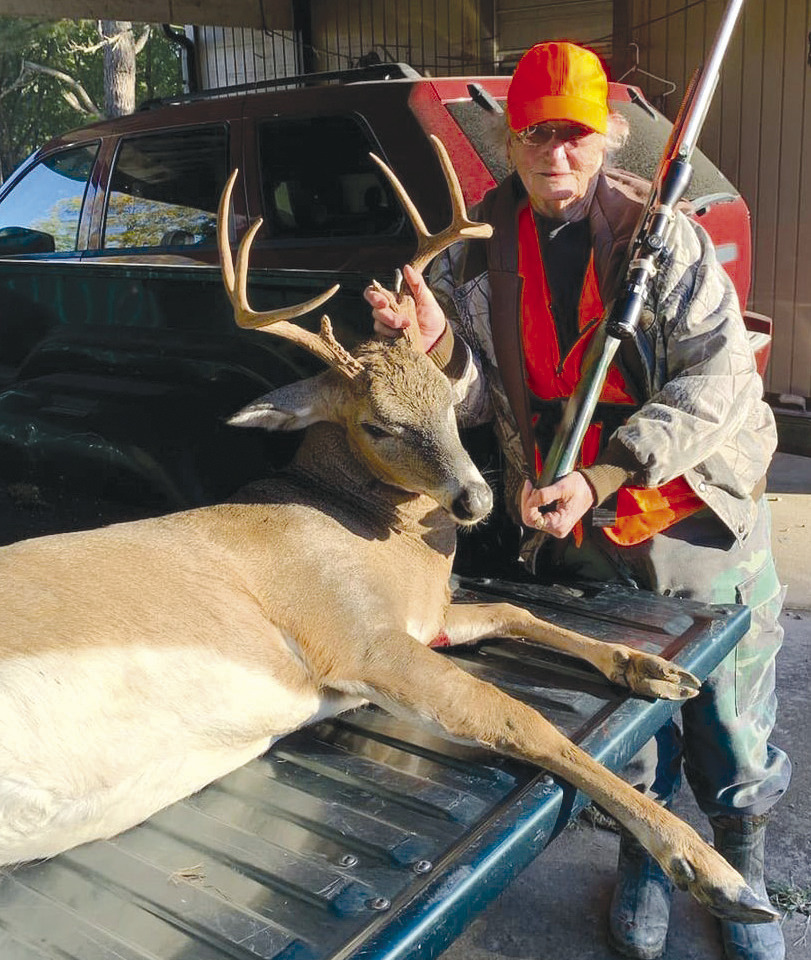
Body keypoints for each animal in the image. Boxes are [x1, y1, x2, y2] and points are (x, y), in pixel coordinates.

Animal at [0, 137, 776, 928]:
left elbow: (511, 607)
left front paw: (648, 667)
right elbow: (522, 717)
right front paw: (714, 873)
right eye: (378, 424)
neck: (362, 525)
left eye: (447, 401)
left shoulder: (421, 619)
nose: (473, 498)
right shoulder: (358, 638)